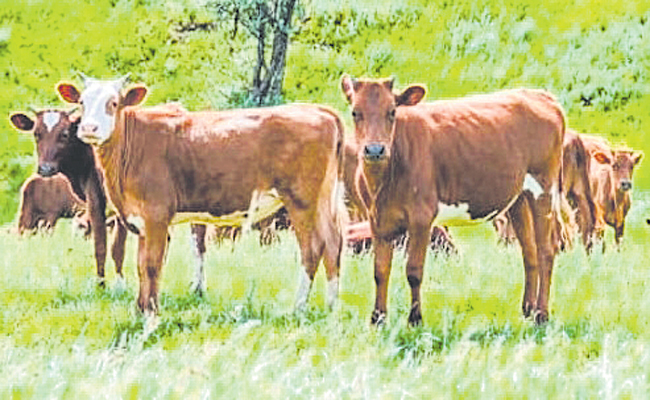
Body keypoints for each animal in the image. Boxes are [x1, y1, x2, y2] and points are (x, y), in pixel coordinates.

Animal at [57, 74, 344, 315]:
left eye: (114, 103)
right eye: (82, 102)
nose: (89, 128)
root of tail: (318, 110)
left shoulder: (156, 215)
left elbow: (151, 264)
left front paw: (151, 312)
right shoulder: (140, 219)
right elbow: (140, 265)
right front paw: (140, 308)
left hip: (301, 200)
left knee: (312, 248)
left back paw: (298, 307)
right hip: (322, 199)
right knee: (332, 243)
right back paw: (331, 306)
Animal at [341, 75, 565, 326]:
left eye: (392, 112)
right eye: (355, 112)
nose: (374, 150)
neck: (382, 186)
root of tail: (540, 95)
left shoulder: (421, 217)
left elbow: (414, 270)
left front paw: (415, 319)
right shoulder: (377, 220)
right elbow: (380, 271)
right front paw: (377, 319)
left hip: (543, 188)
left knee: (546, 250)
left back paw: (541, 315)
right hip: (519, 197)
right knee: (529, 251)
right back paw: (527, 310)